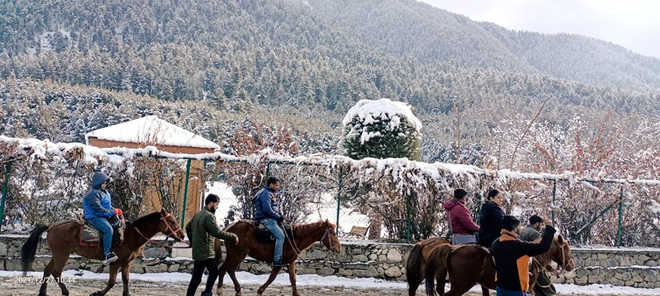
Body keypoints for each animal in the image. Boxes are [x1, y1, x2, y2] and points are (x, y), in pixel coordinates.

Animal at [21, 208, 186, 296]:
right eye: (171, 221)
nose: (182, 235)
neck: (130, 235)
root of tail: (52, 226)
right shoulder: (116, 262)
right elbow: (112, 281)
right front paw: (98, 293)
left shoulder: (126, 263)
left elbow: (125, 280)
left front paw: (126, 294)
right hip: (62, 254)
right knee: (56, 272)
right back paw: (65, 291)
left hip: (58, 254)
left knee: (48, 270)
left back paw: (43, 292)